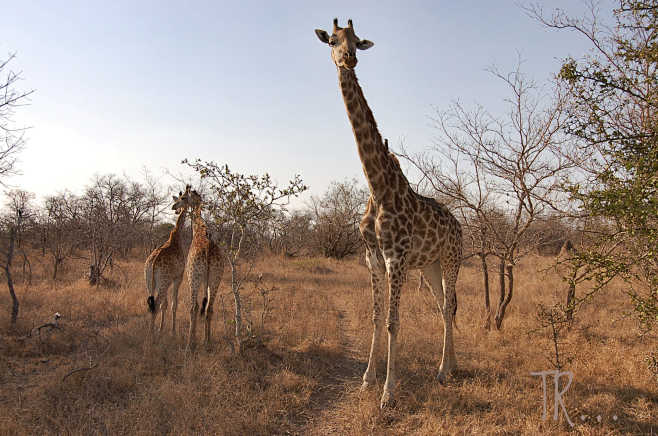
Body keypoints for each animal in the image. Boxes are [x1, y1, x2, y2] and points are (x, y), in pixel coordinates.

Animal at [145, 186, 190, 338]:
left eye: (182, 198)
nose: (174, 208)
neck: (176, 237)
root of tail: (152, 264)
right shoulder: (178, 277)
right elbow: (173, 304)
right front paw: (173, 331)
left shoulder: (169, 280)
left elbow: (165, 305)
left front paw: (161, 328)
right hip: (163, 281)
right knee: (157, 303)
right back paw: (151, 336)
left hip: (150, 282)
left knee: (153, 303)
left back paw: (151, 332)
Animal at [179, 188, 226, 350]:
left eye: (182, 197)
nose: (174, 206)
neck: (199, 230)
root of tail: (208, 250)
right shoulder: (207, 279)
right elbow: (205, 307)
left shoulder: (191, 276)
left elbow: (196, 306)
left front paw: (193, 341)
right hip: (216, 277)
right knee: (209, 309)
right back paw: (207, 341)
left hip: (194, 277)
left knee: (193, 307)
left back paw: (189, 345)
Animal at [314, 18, 462, 408]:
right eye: (332, 40)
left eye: (356, 41)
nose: (348, 58)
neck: (376, 186)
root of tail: (460, 225)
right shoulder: (373, 257)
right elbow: (377, 318)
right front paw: (368, 380)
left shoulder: (397, 257)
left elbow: (395, 321)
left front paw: (388, 392)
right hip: (430, 265)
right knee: (444, 305)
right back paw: (451, 366)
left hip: (452, 259)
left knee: (450, 306)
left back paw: (444, 371)